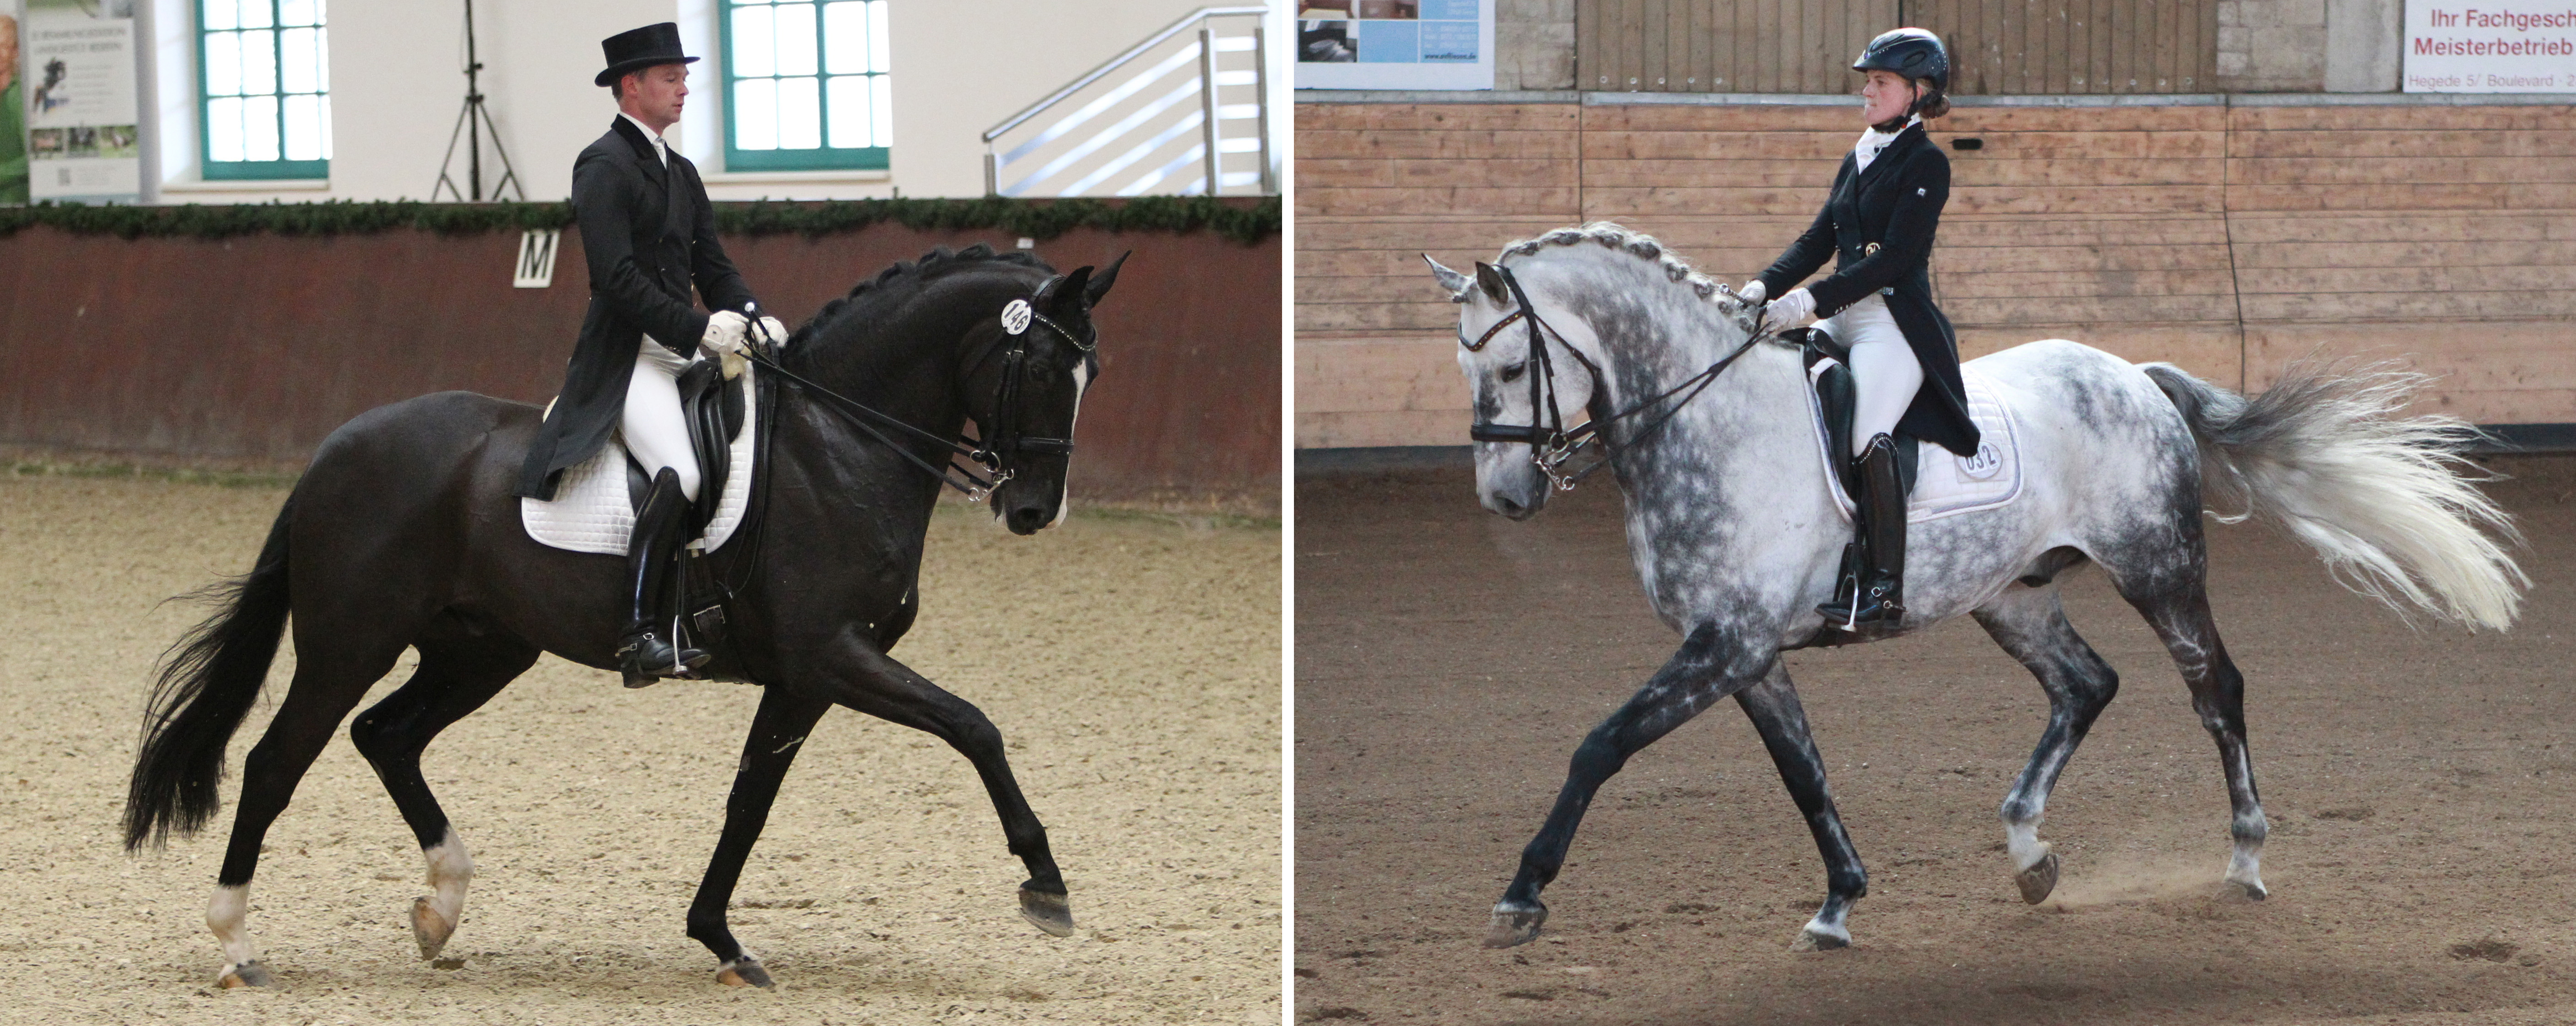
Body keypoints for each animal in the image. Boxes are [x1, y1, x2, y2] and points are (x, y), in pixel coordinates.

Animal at [123, 245, 1118, 990]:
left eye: (1090, 372)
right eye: (1038, 366)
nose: (1035, 509)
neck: (839, 446)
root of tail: (336, 449)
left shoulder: (805, 677)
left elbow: (749, 801)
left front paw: (720, 937)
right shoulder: (833, 655)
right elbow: (974, 726)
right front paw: (1046, 883)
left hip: (482, 649)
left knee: (386, 736)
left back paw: (442, 904)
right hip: (350, 641)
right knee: (274, 762)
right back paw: (237, 943)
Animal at [1422, 220, 2524, 949]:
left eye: (1513, 366)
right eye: (1466, 369)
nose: (1506, 496)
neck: (1709, 422)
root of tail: (2134, 375)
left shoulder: (1725, 644)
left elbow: (1599, 744)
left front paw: (1522, 895)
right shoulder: (1746, 652)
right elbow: (1804, 773)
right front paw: (1839, 902)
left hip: (2158, 567)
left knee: (2216, 688)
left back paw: (2244, 859)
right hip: (2015, 593)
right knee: (2086, 685)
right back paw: (2030, 850)